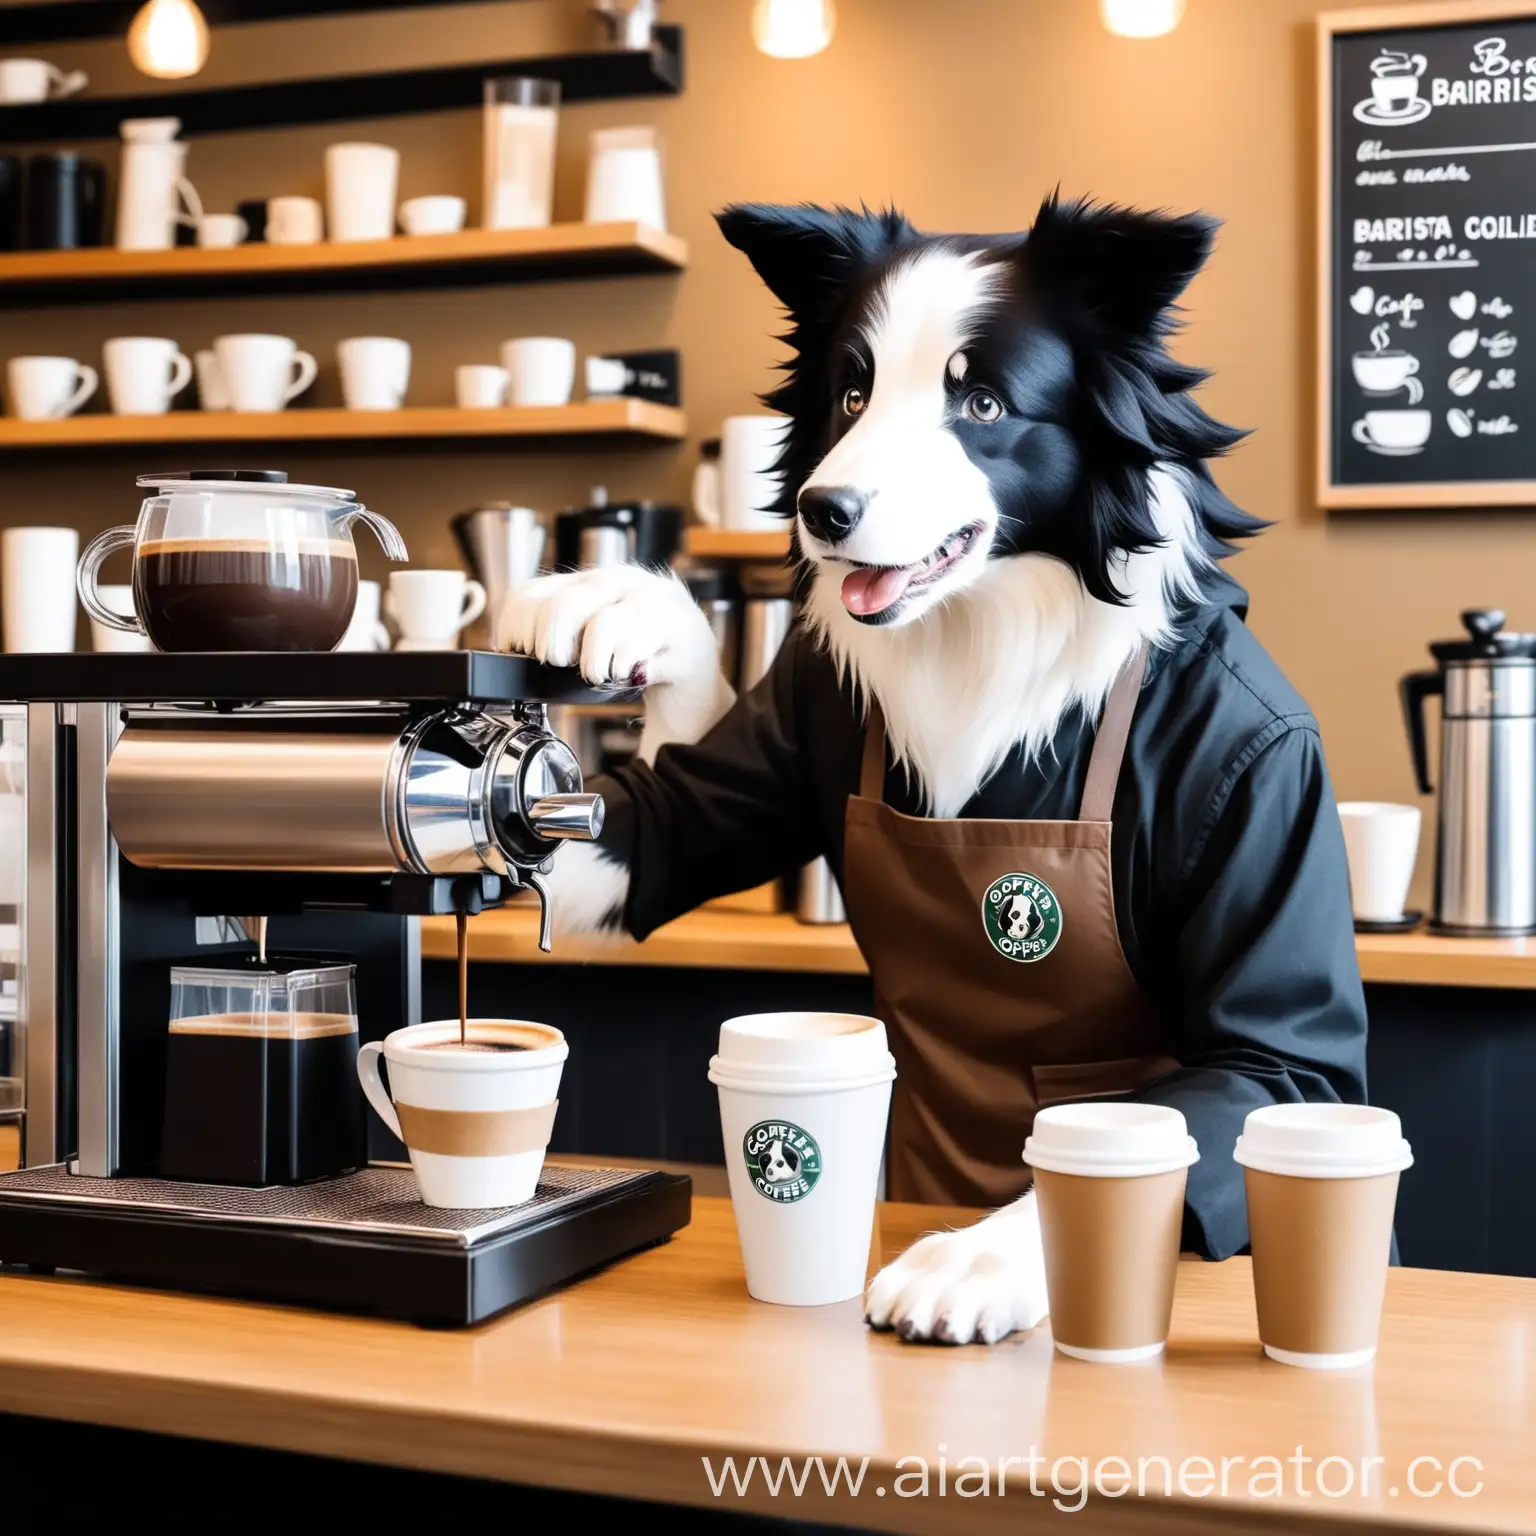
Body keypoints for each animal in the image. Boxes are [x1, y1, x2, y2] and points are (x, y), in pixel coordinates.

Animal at [497, 195, 1265, 1345]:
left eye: (983, 402)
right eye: (852, 394)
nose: (823, 510)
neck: (989, 636)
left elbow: (1196, 1101)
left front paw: (979, 1258)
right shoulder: (758, 732)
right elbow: (650, 820)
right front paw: (612, 600)